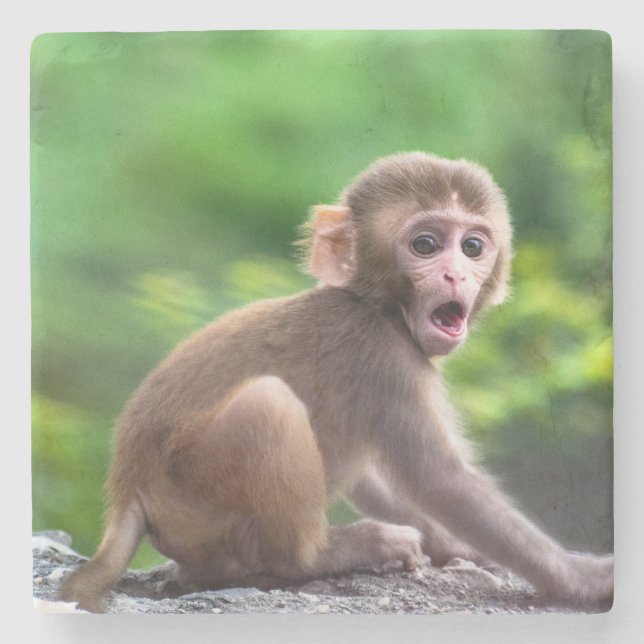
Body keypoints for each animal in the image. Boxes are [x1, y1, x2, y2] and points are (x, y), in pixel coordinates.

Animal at [59, 152, 613, 613]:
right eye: (426, 245)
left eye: (473, 247)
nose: (456, 275)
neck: (376, 305)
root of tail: (128, 491)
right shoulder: (385, 358)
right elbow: (440, 480)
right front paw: (581, 579)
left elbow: (375, 476)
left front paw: (450, 544)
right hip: (193, 492)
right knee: (269, 405)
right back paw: (329, 554)